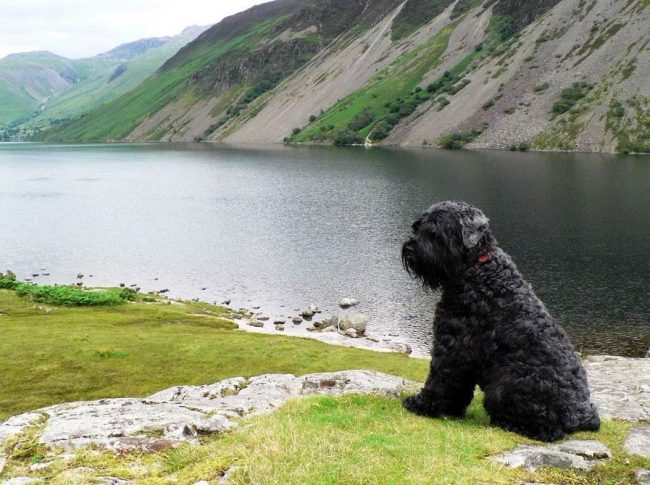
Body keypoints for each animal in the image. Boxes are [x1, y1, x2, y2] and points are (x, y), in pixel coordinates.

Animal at [400, 199, 596, 440]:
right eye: (417, 227)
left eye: (436, 231)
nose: (409, 248)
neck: (477, 268)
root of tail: (582, 416)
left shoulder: (452, 347)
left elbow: (440, 380)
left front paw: (422, 404)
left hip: (505, 386)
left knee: (547, 430)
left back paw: (508, 423)